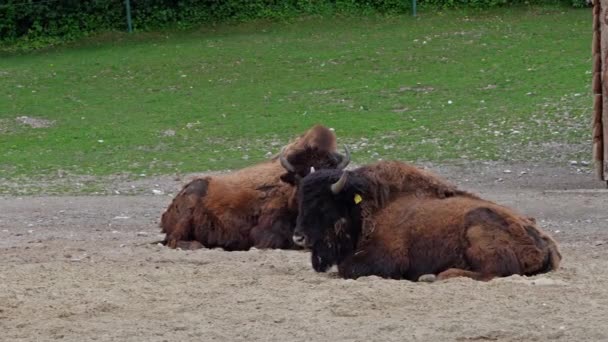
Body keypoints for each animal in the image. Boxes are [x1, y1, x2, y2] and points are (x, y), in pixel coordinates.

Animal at [292, 160, 564, 280]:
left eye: (323, 203)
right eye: (301, 200)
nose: (298, 236)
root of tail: (545, 244)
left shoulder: (388, 258)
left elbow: (347, 268)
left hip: (478, 228)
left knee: (494, 271)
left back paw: (434, 275)